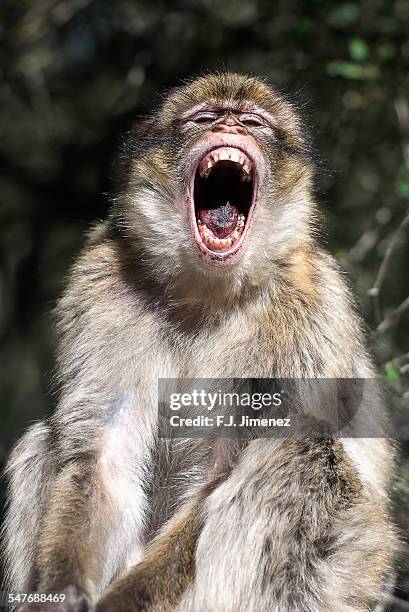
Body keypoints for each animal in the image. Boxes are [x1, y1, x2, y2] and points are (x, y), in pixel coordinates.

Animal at [0, 73, 396, 612]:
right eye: (205, 118)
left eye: (254, 123)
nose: (230, 127)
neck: (207, 292)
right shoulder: (101, 287)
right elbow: (102, 455)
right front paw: (62, 593)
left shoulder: (310, 313)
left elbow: (222, 473)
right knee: (43, 442)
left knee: (300, 453)